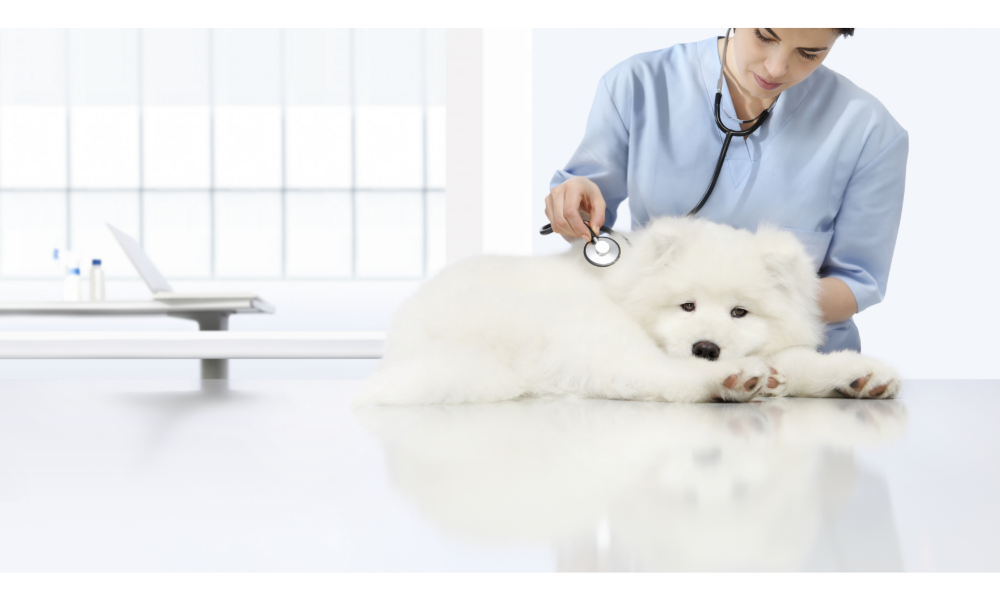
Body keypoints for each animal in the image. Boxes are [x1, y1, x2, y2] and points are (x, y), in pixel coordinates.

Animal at [356, 213, 904, 406]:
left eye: (739, 313)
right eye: (687, 305)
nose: (706, 348)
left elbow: (800, 363)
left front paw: (862, 375)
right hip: (584, 328)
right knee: (651, 378)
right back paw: (731, 382)